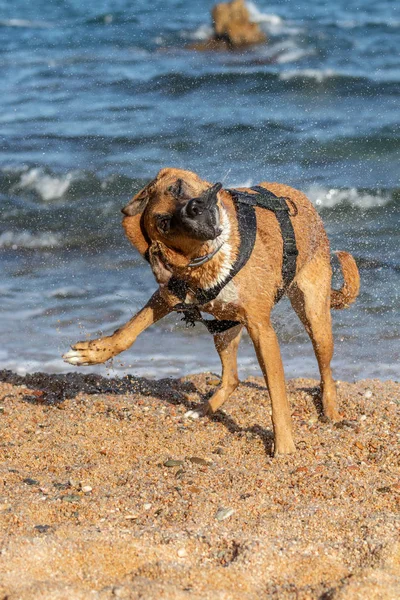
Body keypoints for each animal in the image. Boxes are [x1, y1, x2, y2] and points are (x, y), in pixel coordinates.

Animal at [64, 168, 360, 454]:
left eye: (177, 187)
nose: (194, 207)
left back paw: (331, 411)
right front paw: (93, 352)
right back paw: (203, 409)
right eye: (165, 223)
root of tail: (305, 202)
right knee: (232, 378)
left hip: (315, 318)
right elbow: (128, 332)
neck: (213, 257)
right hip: (224, 329)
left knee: (326, 372)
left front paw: (285, 445)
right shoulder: (170, 294)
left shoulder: (262, 330)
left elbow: (277, 395)